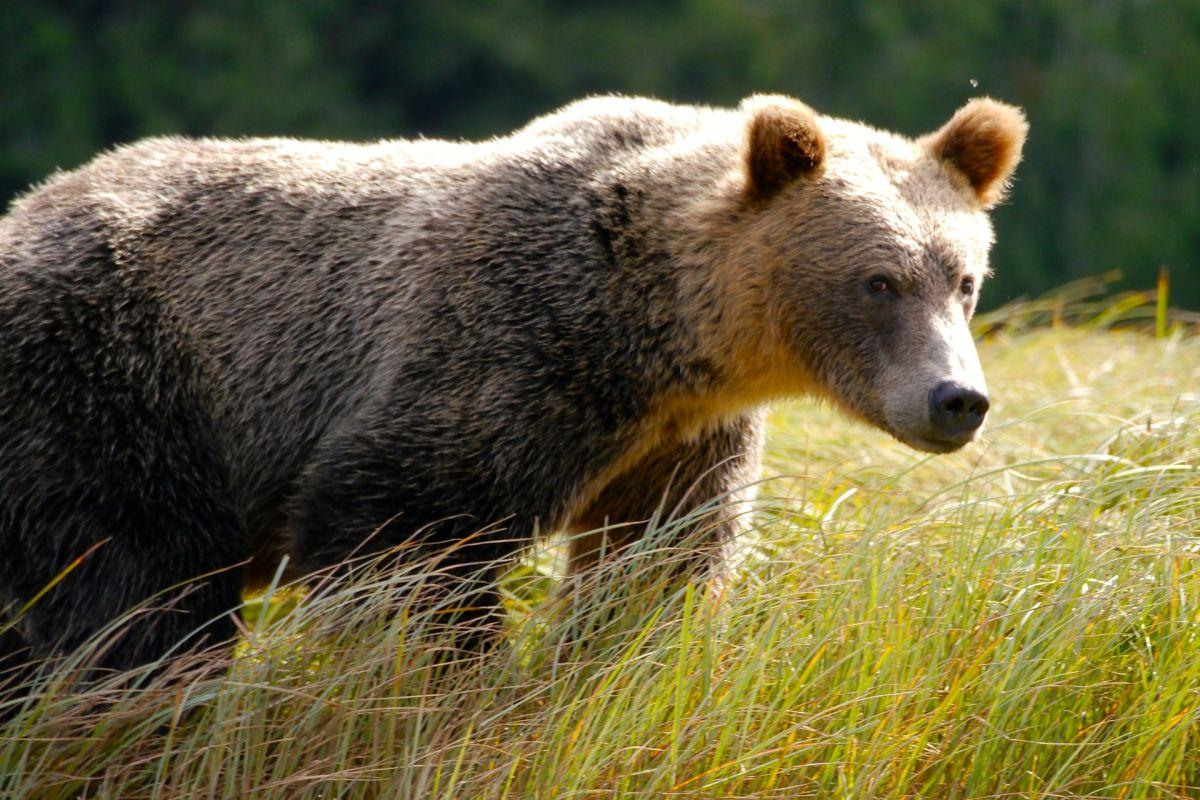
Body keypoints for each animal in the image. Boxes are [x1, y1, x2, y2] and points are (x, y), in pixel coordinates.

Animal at [0, 90, 1027, 671]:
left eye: (964, 278)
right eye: (878, 281)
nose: (957, 401)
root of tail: (24, 208)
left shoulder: (678, 437)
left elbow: (657, 566)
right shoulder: (504, 352)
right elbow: (405, 542)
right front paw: (461, 689)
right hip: (112, 381)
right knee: (137, 587)